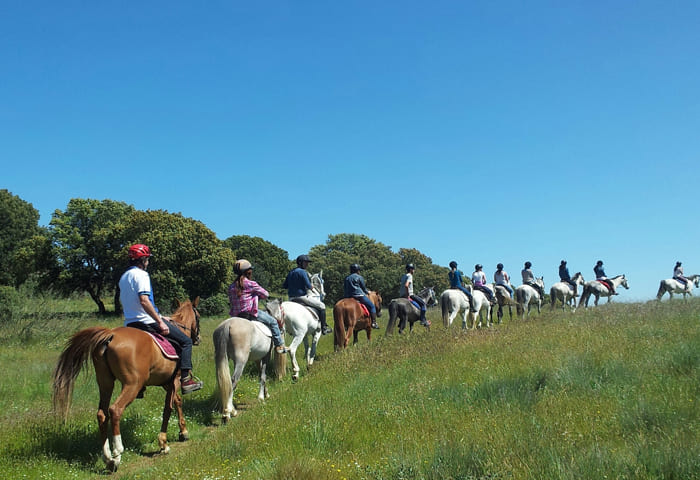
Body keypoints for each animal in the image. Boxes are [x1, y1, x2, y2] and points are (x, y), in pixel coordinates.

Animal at [51, 298, 200, 470]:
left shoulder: (167, 383)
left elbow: (177, 402)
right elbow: (168, 408)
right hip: (132, 385)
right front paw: (163, 443)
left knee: (102, 414)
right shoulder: (174, 380)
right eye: (198, 316)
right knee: (115, 410)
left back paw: (108, 458)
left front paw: (183, 432)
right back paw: (117, 454)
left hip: (105, 383)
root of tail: (111, 335)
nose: (198, 339)